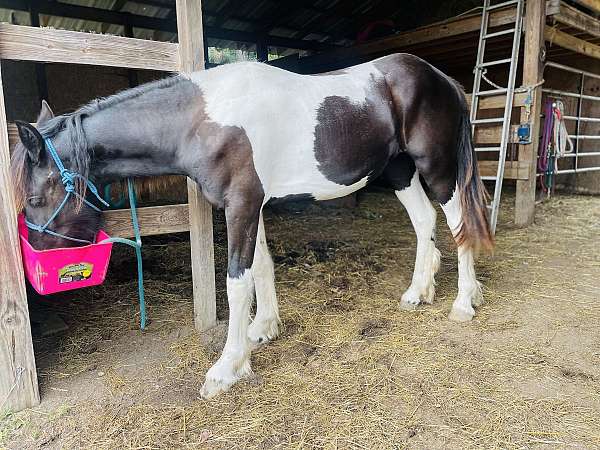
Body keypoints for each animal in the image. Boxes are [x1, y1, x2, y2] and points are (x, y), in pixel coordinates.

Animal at [11, 53, 492, 400]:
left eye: (34, 200)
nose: (39, 270)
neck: (204, 120)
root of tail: (440, 78)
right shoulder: (251, 206)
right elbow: (261, 267)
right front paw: (264, 330)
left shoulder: (241, 205)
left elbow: (236, 282)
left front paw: (227, 368)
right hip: (400, 171)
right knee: (424, 221)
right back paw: (419, 292)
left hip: (438, 169)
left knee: (460, 225)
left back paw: (464, 302)